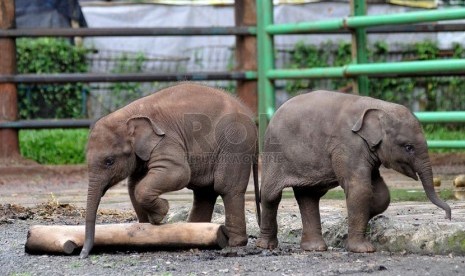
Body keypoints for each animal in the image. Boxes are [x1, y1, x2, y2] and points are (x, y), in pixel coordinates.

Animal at [81, 83, 260, 258]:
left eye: (109, 161)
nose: (83, 255)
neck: (128, 114)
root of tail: (250, 116)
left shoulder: (166, 139)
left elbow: (178, 173)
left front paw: (159, 216)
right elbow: (133, 185)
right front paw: (146, 228)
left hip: (236, 144)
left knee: (227, 188)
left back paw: (234, 244)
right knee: (204, 193)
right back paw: (195, 234)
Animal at [258, 90, 450, 252]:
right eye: (408, 147)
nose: (448, 216)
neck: (378, 106)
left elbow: (381, 193)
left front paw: (354, 220)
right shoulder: (348, 145)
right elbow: (360, 189)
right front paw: (364, 249)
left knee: (308, 197)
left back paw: (314, 248)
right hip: (273, 154)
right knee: (271, 195)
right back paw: (266, 246)